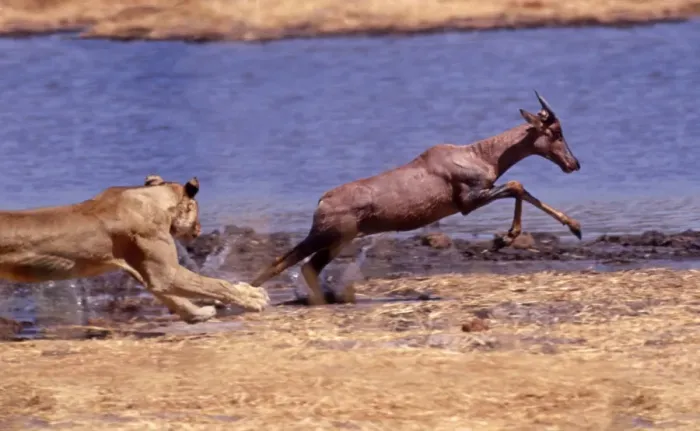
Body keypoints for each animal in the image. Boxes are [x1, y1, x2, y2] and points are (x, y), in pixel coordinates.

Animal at [0, 175, 270, 324]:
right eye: (196, 208)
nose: (199, 229)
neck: (152, 198)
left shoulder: (148, 272)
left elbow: (174, 298)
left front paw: (199, 314)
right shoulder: (165, 272)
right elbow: (216, 284)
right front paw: (252, 297)